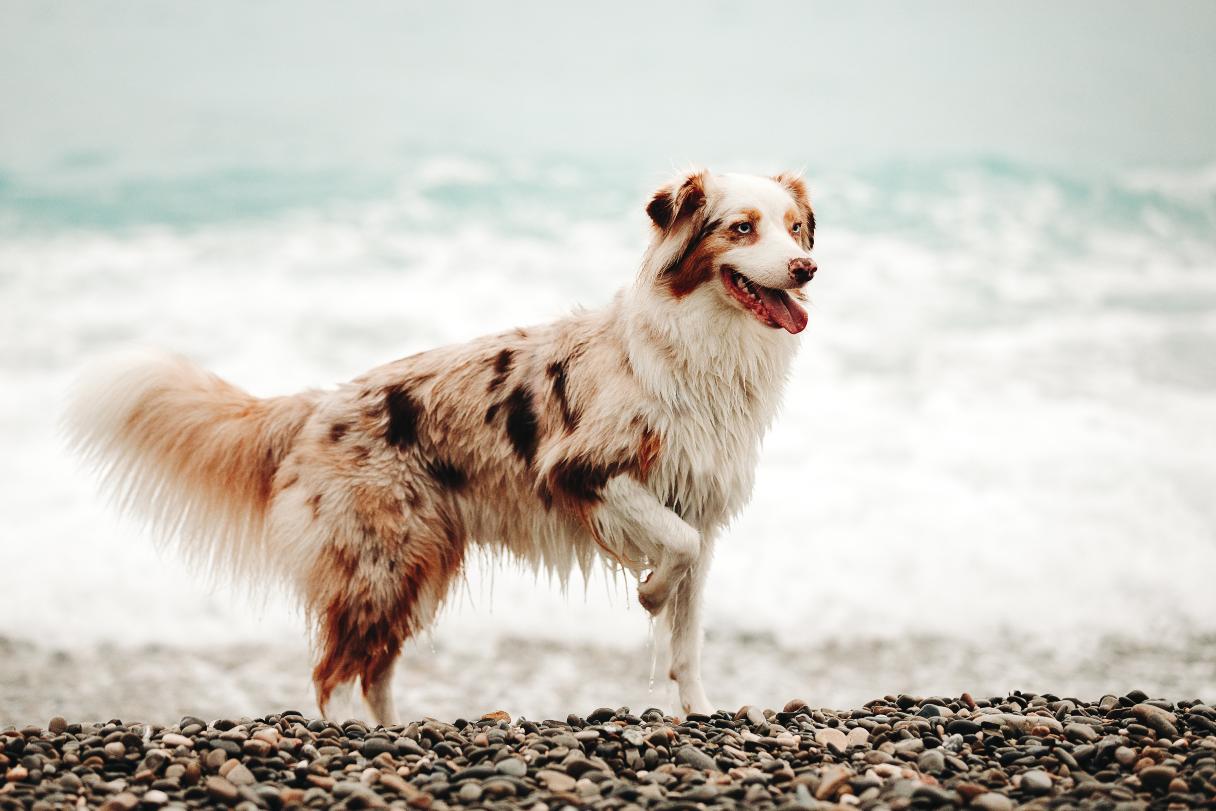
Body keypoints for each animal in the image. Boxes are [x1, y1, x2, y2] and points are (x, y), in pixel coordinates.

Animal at [71, 170, 822, 724]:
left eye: (794, 226)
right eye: (742, 226)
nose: (806, 267)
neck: (696, 349)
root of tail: (316, 406)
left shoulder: (699, 506)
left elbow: (688, 629)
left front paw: (698, 707)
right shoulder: (582, 471)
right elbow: (672, 554)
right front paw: (648, 593)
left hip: (418, 564)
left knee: (374, 668)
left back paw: (389, 731)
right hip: (379, 561)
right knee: (333, 669)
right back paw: (346, 733)